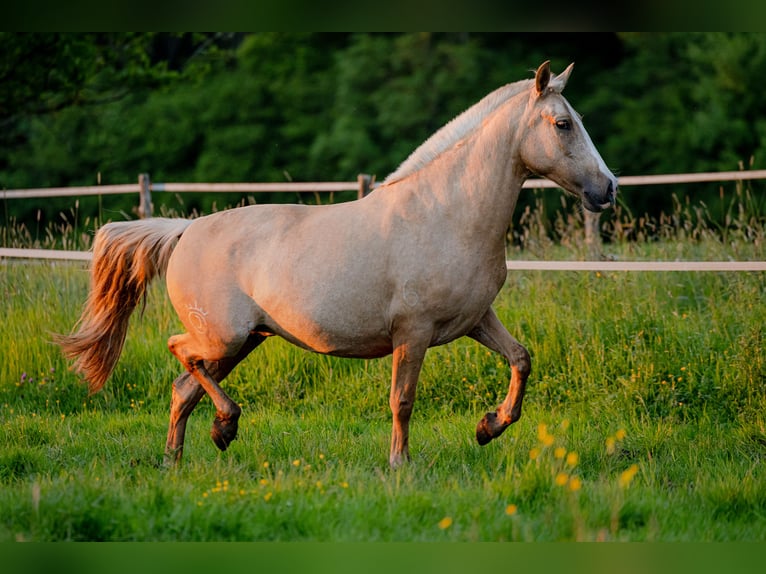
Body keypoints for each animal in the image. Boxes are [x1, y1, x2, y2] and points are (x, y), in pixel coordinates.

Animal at [55, 62, 616, 468]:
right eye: (563, 124)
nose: (608, 189)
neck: (447, 214)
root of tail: (185, 231)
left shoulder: (475, 320)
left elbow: (521, 359)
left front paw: (487, 428)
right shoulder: (412, 333)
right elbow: (403, 400)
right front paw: (400, 465)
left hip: (243, 342)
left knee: (182, 390)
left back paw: (183, 455)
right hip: (224, 337)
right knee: (180, 352)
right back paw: (226, 425)